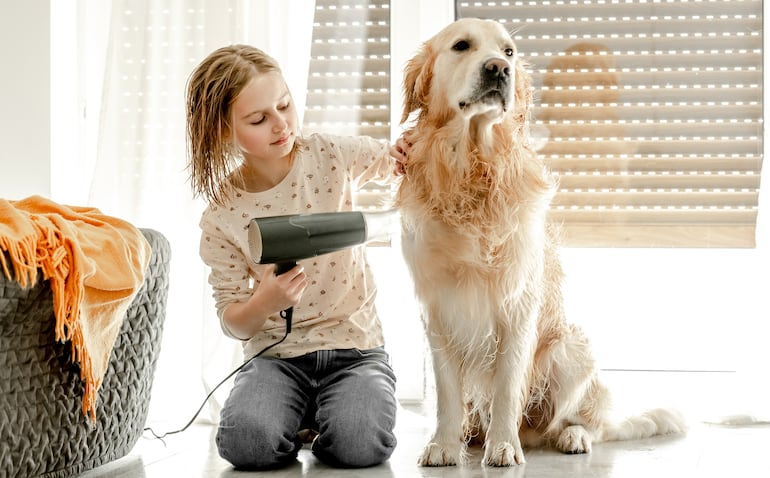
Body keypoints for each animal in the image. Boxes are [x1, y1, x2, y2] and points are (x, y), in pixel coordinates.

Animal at [392, 18, 680, 466]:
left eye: (508, 51)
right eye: (461, 46)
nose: (498, 69)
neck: (472, 169)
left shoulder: (518, 304)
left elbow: (508, 386)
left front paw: (503, 446)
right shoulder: (436, 307)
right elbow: (447, 393)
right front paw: (443, 445)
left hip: (572, 349)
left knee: (583, 423)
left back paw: (568, 436)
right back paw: (472, 436)